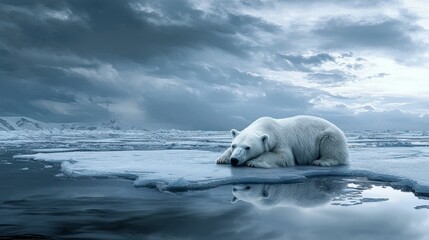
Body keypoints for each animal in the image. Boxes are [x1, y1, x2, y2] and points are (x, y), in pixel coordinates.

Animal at [216, 115, 350, 168]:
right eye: (234, 145)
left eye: (248, 147)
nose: (234, 160)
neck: (267, 126)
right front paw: (222, 159)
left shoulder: (281, 140)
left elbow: (282, 157)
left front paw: (253, 162)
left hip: (330, 136)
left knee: (331, 149)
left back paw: (320, 161)